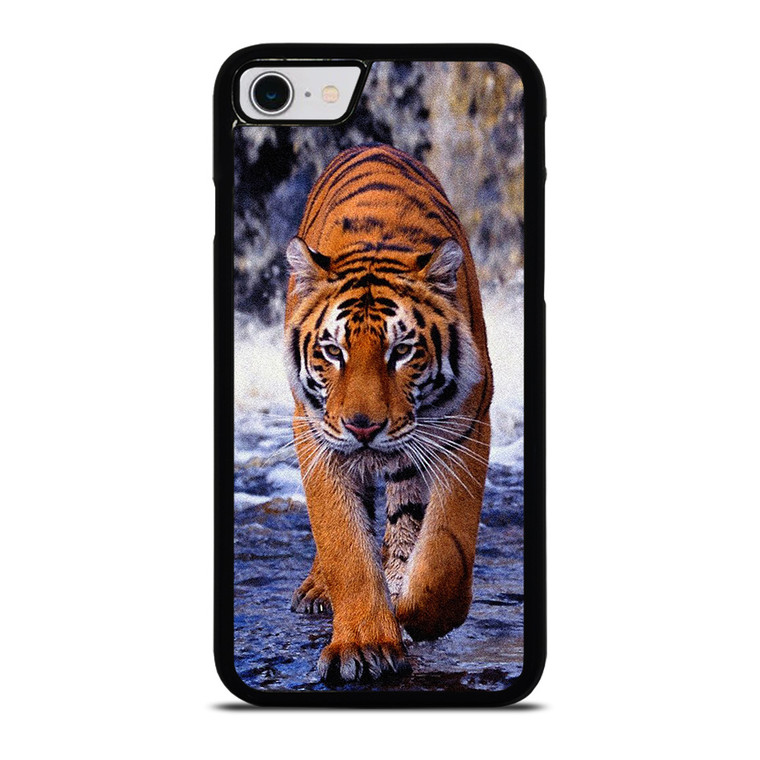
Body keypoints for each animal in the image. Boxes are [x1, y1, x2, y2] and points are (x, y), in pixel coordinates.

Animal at [284, 144, 493, 682]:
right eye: (332, 351)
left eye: (401, 351)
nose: (363, 427)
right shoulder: (317, 435)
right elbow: (343, 542)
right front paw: (364, 645)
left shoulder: (465, 428)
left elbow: (444, 552)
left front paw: (415, 614)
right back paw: (319, 589)